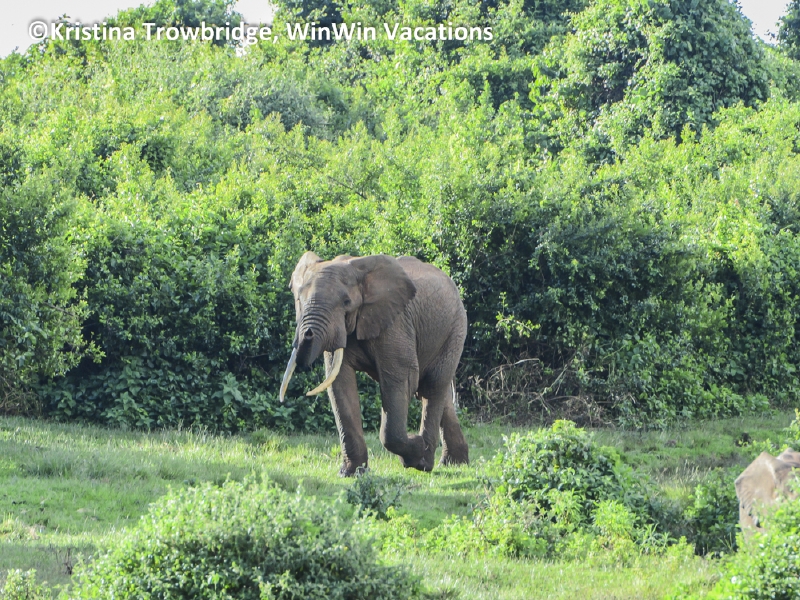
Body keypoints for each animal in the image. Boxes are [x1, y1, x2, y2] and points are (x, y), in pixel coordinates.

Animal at [279, 251, 470, 476]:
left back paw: (425, 462)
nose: (306, 334)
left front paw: (414, 451)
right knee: (436, 391)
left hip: (455, 329)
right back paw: (453, 463)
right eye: (299, 299)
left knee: (432, 385)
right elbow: (339, 385)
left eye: (346, 302)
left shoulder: (395, 325)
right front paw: (350, 473)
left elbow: (401, 379)